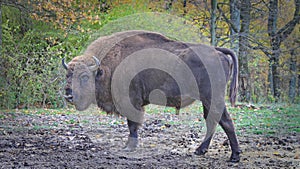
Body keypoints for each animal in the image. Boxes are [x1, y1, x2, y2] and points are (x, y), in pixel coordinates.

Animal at [61, 30, 241, 162]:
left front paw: (129, 147)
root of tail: (217, 50)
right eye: (68, 75)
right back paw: (201, 151)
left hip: (212, 97)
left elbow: (132, 124)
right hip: (207, 99)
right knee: (213, 120)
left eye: (84, 77)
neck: (104, 69)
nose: (69, 95)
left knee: (224, 121)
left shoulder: (131, 102)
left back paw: (234, 157)